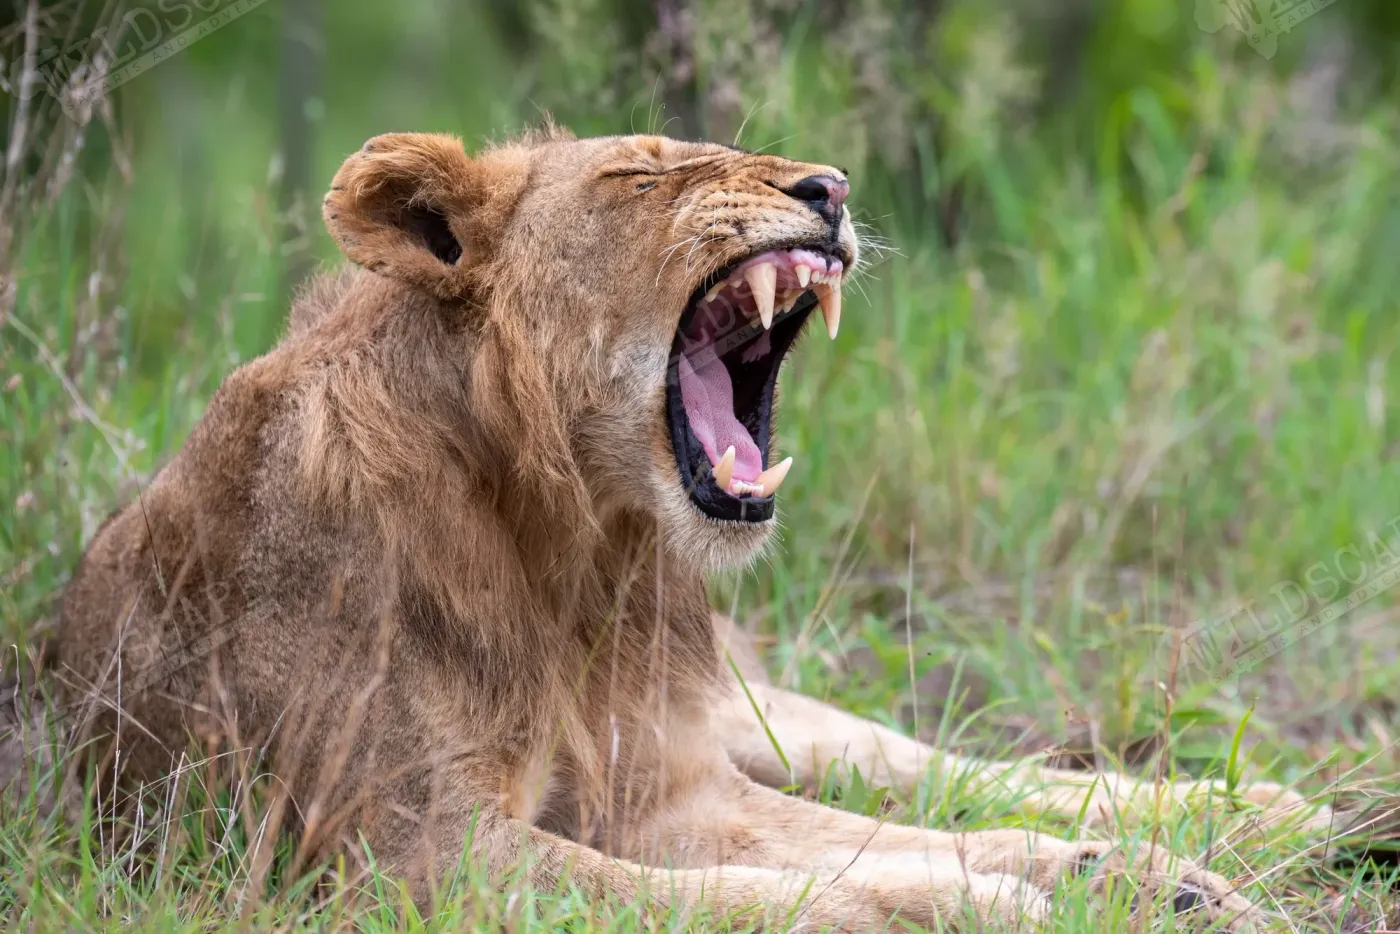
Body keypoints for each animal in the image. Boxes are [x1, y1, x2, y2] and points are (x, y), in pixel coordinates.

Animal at [8, 129, 1327, 930]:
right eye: (639, 179)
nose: (830, 190)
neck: (570, 543)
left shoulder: (662, 788)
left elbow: (858, 844)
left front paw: (1109, 877)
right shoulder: (406, 854)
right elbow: (767, 891)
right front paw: (1009, 902)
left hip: (749, 713)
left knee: (927, 764)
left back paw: (1254, 816)